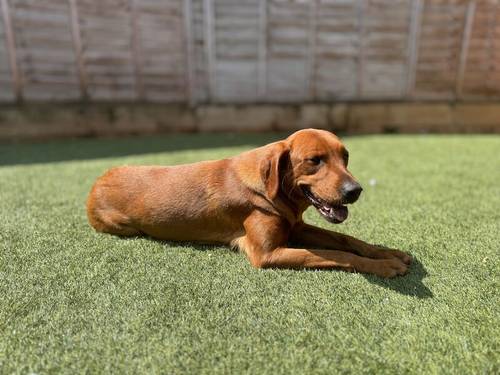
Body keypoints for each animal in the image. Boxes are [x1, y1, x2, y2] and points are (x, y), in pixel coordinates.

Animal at [88, 129, 412, 280]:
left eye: (345, 157)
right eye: (314, 160)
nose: (355, 190)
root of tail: (97, 181)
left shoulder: (296, 227)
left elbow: (345, 240)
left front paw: (389, 253)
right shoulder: (267, 253)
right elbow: (336, 255)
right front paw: (384, 266)